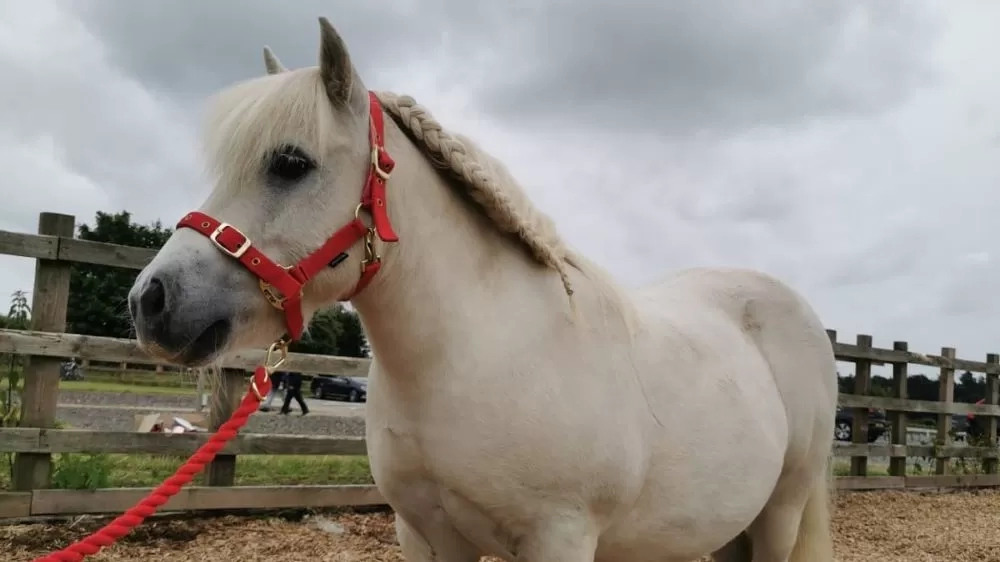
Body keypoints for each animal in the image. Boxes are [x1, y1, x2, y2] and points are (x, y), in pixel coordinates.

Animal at [128, 16, 838, 562]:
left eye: (291, 162)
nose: (150, 302)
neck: (474, 354)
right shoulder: (425, 537)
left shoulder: (561, 539)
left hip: (781, 511)